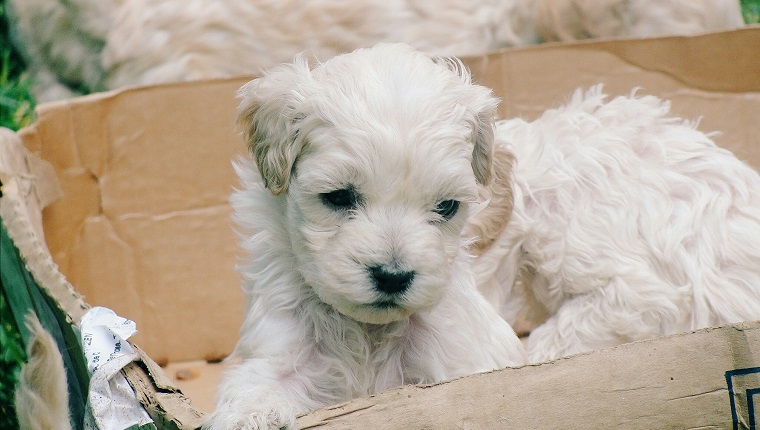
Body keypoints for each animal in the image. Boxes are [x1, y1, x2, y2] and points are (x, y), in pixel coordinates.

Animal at [205, 43, 532, 430]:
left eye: (447, 206)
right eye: (338, 196)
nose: (393, 277)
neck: (369, 330)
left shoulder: (460, 357)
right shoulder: (279, 351)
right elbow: (256, 383)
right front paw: (249, 415)